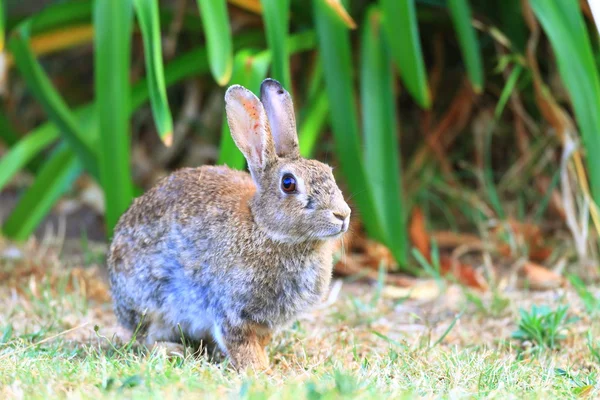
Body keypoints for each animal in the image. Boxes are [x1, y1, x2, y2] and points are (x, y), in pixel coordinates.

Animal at [108, 78, 352, 372]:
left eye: (329, 172)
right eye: (288, 183)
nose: (343, 215)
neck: (266, 229)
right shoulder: (231, 309)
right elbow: (240, 342)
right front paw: (259, 370)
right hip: (152, 300)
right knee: (144, 337)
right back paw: (172, 350)